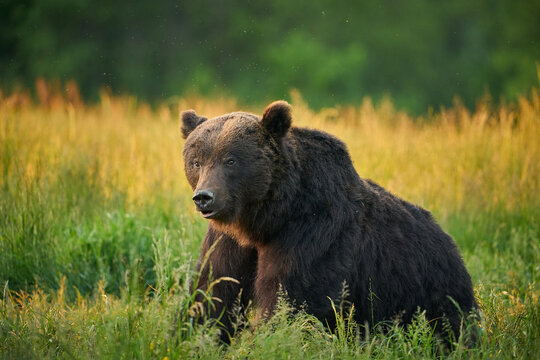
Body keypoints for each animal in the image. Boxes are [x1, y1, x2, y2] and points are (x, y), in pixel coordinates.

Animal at [180, 100, 476, 344]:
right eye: (196, 161)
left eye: (231, 160)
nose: (204, 197)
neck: (266, 219)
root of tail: (451, 243)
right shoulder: (229, 240)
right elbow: (214, 289)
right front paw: (194, 334)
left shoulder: (313, 231)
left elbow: (291, 297)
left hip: (428, 289)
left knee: (449, 325)